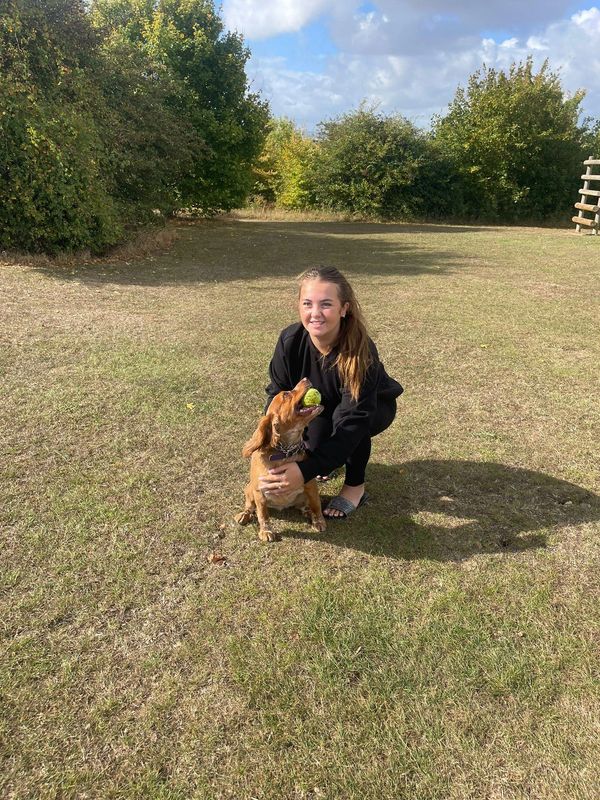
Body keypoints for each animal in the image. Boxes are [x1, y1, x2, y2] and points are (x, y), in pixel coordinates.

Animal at [235, 378, 326, 542]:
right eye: (286, 394)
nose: (305, 378)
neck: (284, 453)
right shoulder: (259, 491)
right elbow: (263, 514)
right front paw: (266, 531)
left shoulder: (310, 484)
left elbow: (316, 505)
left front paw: (319, 520)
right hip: (249, 490)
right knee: (250, 507)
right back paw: (244, 515)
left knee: (304, 505)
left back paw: (307, 511)